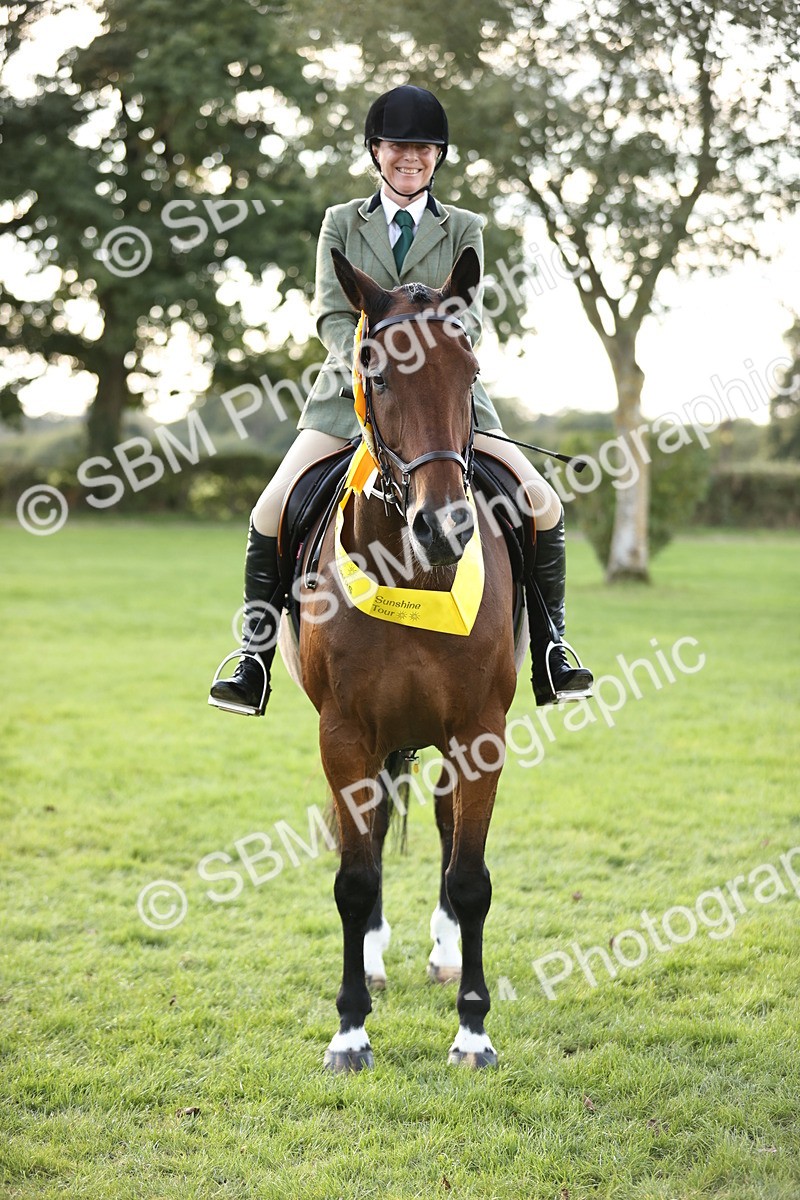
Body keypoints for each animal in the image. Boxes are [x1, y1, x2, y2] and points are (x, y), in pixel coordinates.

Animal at [296, 246, 518, 1071]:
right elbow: (355, 879)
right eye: (378, 372)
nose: (444, 527)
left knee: (450, 832)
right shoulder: (344, 734)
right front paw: (350, 1029)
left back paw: (446, 954)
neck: (415, 574)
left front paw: (473, 1032)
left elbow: (471, 877)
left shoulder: (481, 731)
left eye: (472, 368)